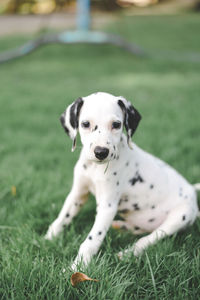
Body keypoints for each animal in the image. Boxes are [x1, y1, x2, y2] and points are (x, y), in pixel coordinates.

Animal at [44, 91, 199, 270]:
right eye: (85, 124)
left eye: (116, 124)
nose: (101, 152)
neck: (95, 168)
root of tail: (192, 189)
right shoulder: (77, 194)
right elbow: (62, 218)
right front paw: (47, 238)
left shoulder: (107, 206)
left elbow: (91, 241)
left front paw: (77, 267)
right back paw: (120, 226)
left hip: (180, 217)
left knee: (150, 238)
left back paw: (127, 253)